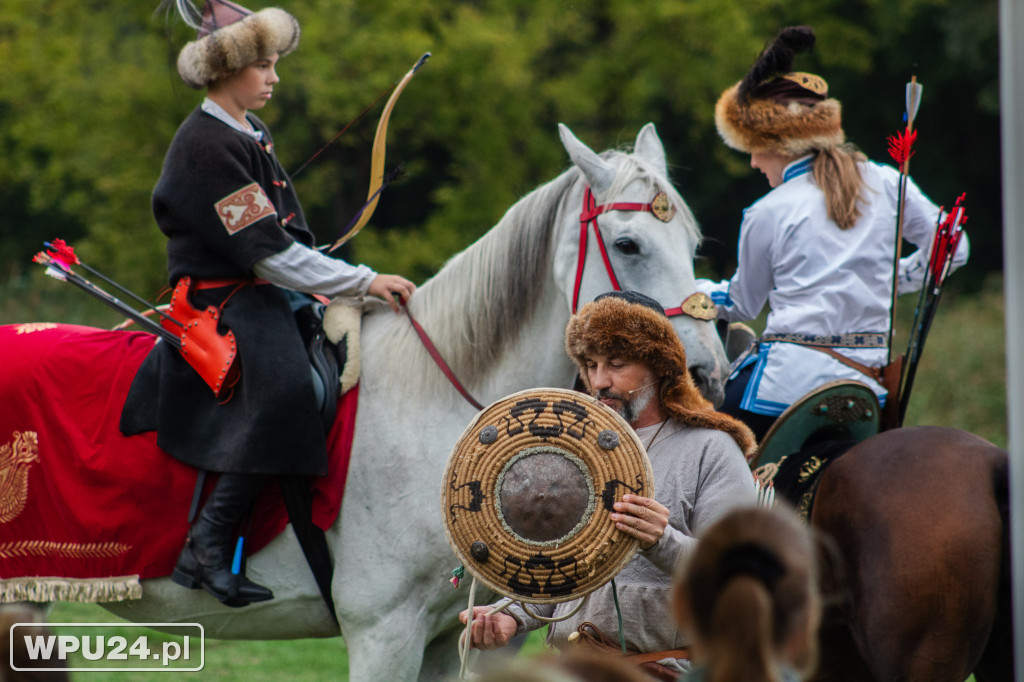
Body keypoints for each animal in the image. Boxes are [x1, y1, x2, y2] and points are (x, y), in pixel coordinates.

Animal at [94, 123, 720, 679]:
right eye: (627, 243)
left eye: (693, 245)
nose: (706, 374)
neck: (431, 407)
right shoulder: (383, 633)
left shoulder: (465, 636)